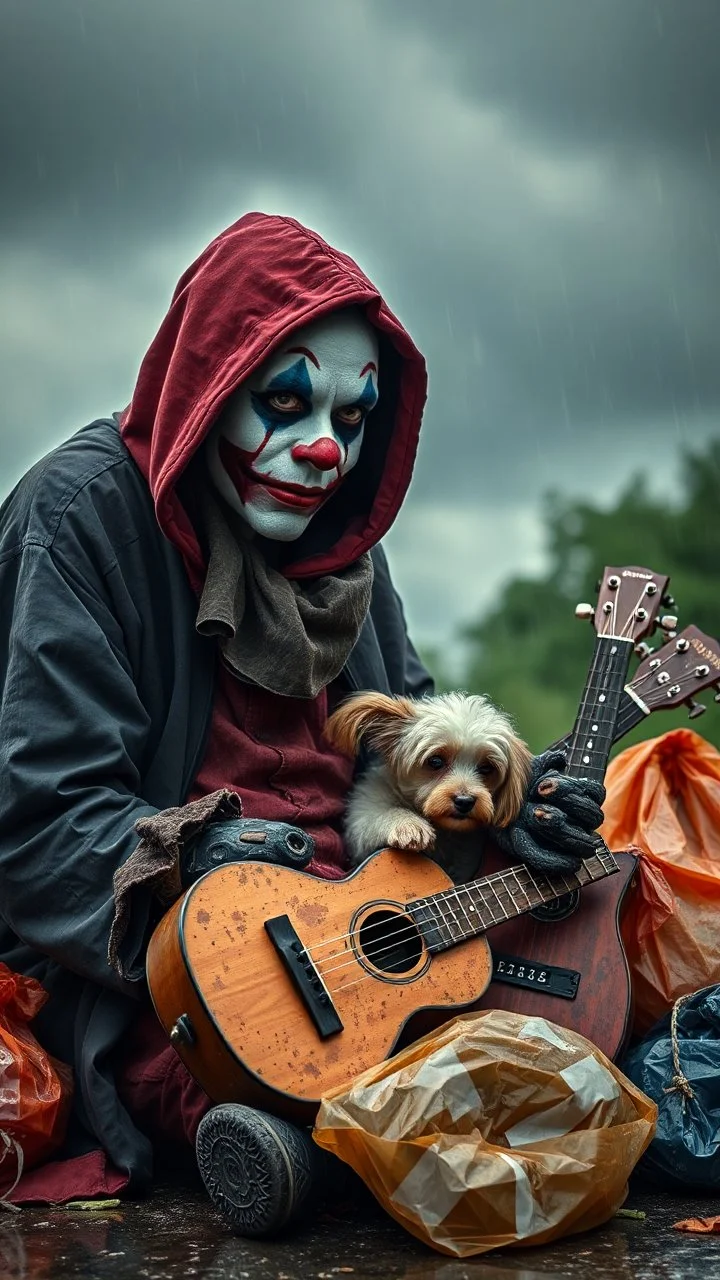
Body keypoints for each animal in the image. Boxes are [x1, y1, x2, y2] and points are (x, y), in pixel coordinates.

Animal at [322, 691, 530, 870]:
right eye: (435, 761)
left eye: (487, 768)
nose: (465, 801)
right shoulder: (362, 818)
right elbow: (376, 817)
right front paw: (408, 823)